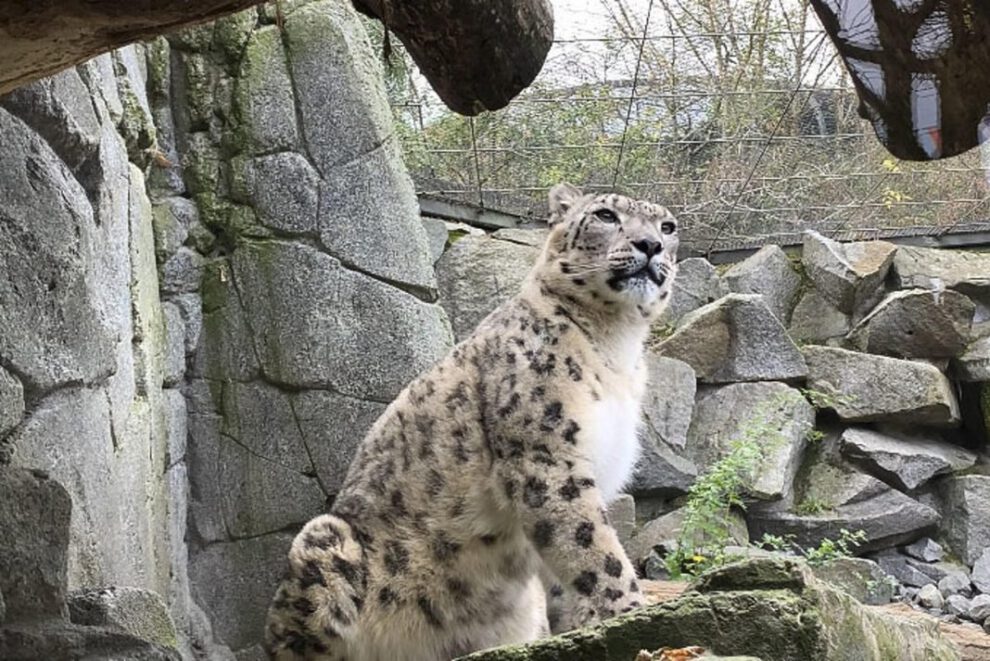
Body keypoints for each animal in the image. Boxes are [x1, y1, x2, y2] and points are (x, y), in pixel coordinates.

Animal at [264, 182, 680, 661]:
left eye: (668, 227)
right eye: (606, 215)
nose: (650, 245)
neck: (616, 346)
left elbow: (565, 565)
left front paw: (579, 629)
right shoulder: (546, 454)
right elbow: (590, 542)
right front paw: (629, 611)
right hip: (324, 540)